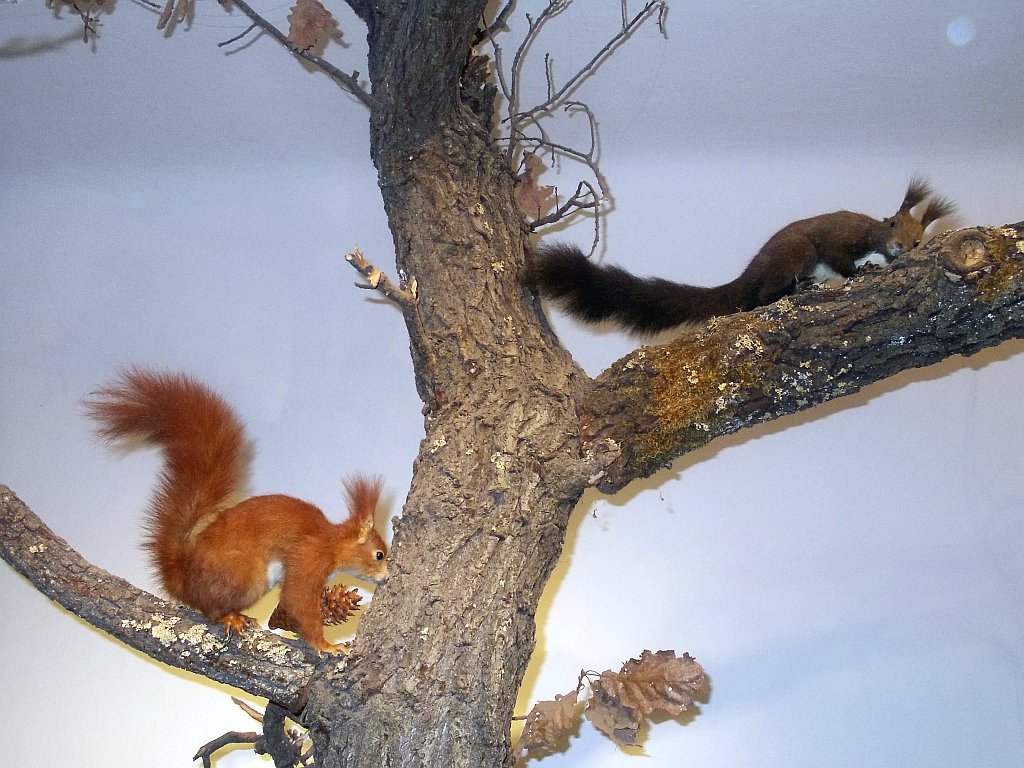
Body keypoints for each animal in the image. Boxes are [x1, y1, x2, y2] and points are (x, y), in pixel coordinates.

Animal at [85, 368, 388, 655]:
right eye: (379, 554)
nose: (386, 578)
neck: (332, 541)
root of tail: (182, 576)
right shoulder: (309, 557)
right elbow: (297, 599)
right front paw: (326, 645)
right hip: (246, 576)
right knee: (210, 609)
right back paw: (229, 617)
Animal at [528, 178, 956, 335]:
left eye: (918, 242)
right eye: (893, 224)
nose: (900, 248)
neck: (870, 234)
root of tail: (750, 272)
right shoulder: (838, 239)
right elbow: (840, 259)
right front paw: (859, 273)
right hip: (796, 252)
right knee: (763, 295)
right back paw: (795, 289)